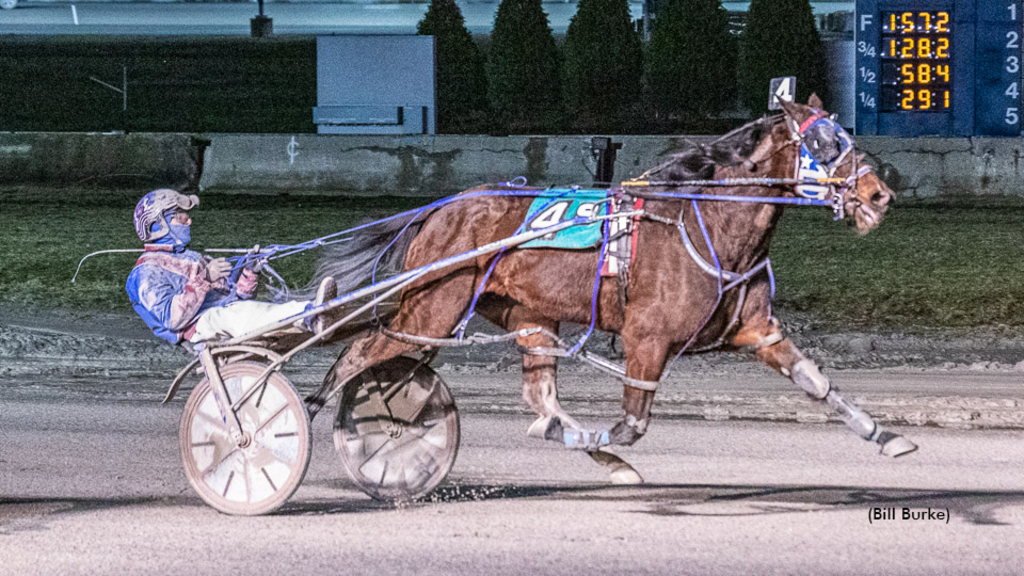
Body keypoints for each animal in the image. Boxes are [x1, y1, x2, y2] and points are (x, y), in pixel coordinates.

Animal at [301, 96, 913, 481]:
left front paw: (887, 436)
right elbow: (631, 425)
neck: (710, 222)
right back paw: (296, 414)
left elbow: (817, 382)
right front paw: (598, 445)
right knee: (358, 354)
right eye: (828, 143)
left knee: (539, 394)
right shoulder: (647, 337)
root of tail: (441, 209)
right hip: (430, 311)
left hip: (527, 315)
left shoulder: (757, 330)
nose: (879, 194)